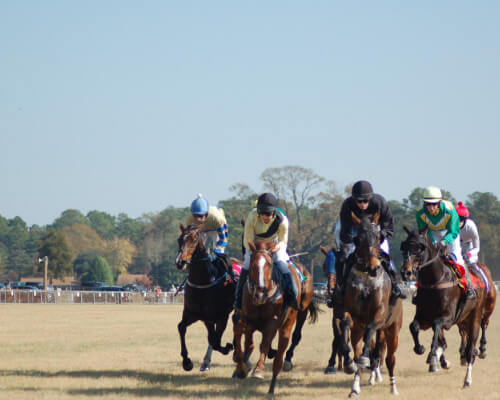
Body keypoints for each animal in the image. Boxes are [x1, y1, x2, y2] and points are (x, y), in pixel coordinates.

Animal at [176, 225, 234, 372]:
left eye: (194, 240)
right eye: (179, 239)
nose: (180, 262)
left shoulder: (222, 316)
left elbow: (216, 341)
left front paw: (228, 347)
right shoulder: (195, 314)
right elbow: (181, 327)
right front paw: (186, 362)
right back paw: (206, 362)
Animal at [233, 241, 318, 394]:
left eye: (269, 264)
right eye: (253, 265)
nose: (259, 294)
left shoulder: (272, 323)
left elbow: (264, 344)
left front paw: (258, 370)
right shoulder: (246, 320)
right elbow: (243, 340)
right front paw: (242, 368)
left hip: (299, 313)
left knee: (291, 341)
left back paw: (277, 378)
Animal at [338, 212, 404, 396]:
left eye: (378, 237)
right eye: (358, 239)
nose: (374, 268)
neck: (366, 278)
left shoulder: (379, 315)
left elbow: (370, 329)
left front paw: (366, 359)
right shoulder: (351, 315)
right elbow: (345, 323)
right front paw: (349, 363)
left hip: (393, 330)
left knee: (390, 359)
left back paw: (393, 388)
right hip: (360, 331)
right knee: (360, 349)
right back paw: (354, 387)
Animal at [398, 227, 488, 386]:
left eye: (420, 247)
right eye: (404, 246)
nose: (406, 272)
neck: (434, 281)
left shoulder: (448, 317)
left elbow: (437, 326)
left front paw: (431, 355)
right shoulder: (424, 316)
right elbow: (413, 326)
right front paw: (420, 348)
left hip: (475, 317)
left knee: (471, 348)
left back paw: (468, 378)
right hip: (463, 319)